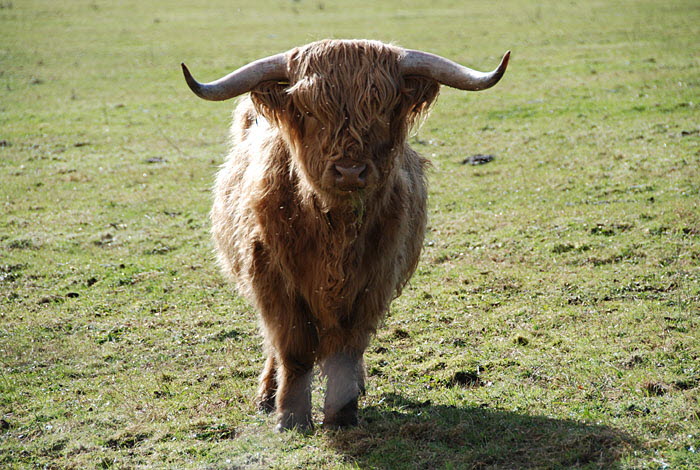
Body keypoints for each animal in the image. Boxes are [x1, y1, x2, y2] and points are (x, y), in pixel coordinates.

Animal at [182, 39, 509, 431]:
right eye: (310, 110)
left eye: (382, 108)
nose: (350, 171)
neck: (334, 229)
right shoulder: (274, 281)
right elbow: (293, 349)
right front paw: (291, 416)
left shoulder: (373, 281)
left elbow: (348, 348)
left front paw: (342, 413)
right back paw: (266, 396)